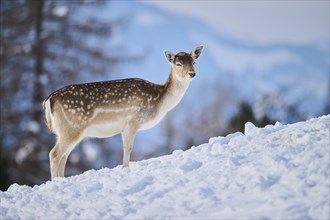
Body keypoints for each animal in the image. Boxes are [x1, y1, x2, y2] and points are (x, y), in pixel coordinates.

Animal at [43, 45, 204, 180]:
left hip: (66, 131)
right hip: (71, 128)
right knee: (54, 154)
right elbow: (128, 148)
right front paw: (125, 169)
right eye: (178, 64)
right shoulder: (132, 122)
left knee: (63, 156)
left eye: (194, 62)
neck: (159, 101)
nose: (192, 73)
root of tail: (48, 100)